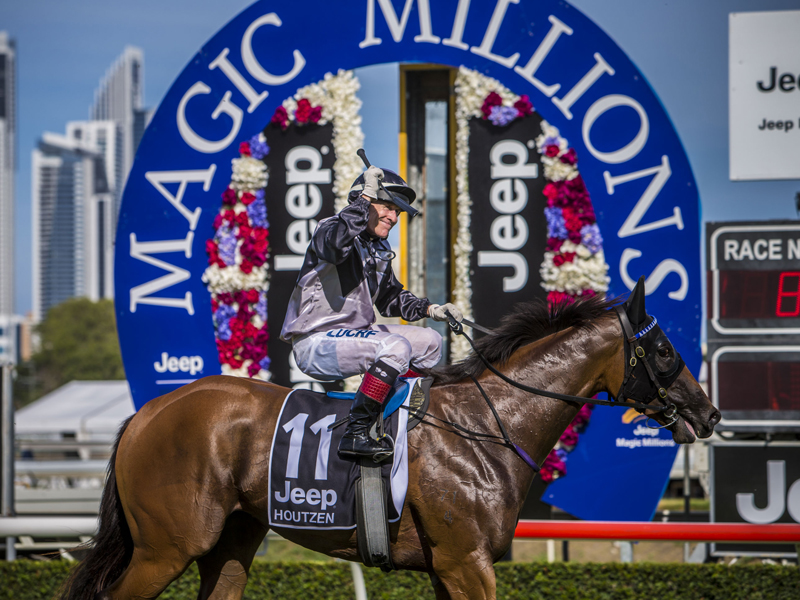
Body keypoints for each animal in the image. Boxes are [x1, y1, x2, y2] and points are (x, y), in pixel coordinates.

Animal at [56, 282, 720, 600]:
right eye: (665, 351)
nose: (708, 413)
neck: (488, 427)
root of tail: (146, 414)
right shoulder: (466, 562)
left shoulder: (449, 567)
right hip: (166, 547)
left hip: (230, 543)